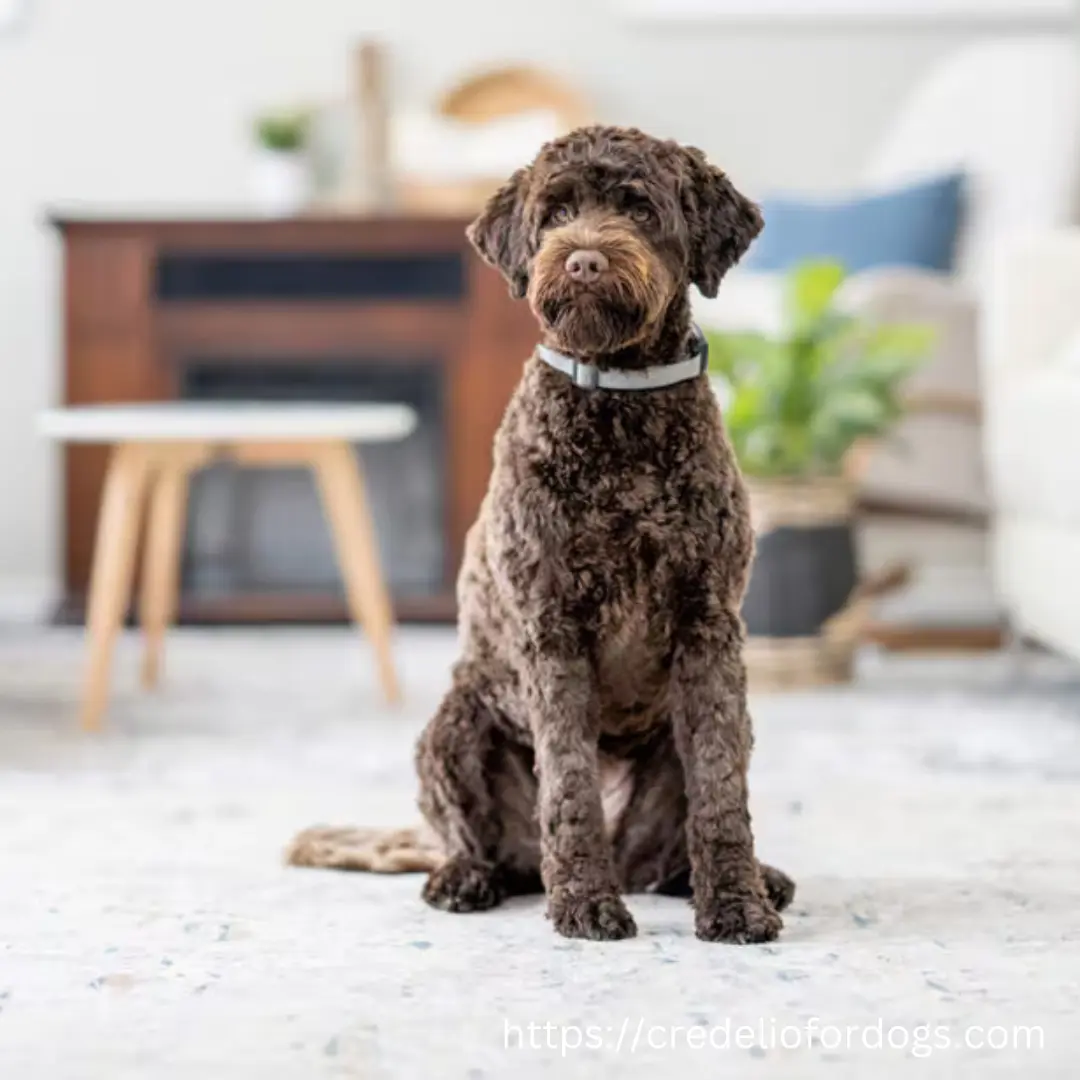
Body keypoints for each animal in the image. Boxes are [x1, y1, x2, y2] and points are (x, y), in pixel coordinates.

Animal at [287, 122, 794, 941]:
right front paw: (584, 903)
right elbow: (568, 781)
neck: (620, 407)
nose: (584, 258)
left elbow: (721, 785)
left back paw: (739, 878)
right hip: (454, 729)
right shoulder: (552, 630)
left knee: (666, 852)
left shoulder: (710, 626)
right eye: (554, 214)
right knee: (491, 848)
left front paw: (737, 903)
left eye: (639, 208)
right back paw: (465, 876)